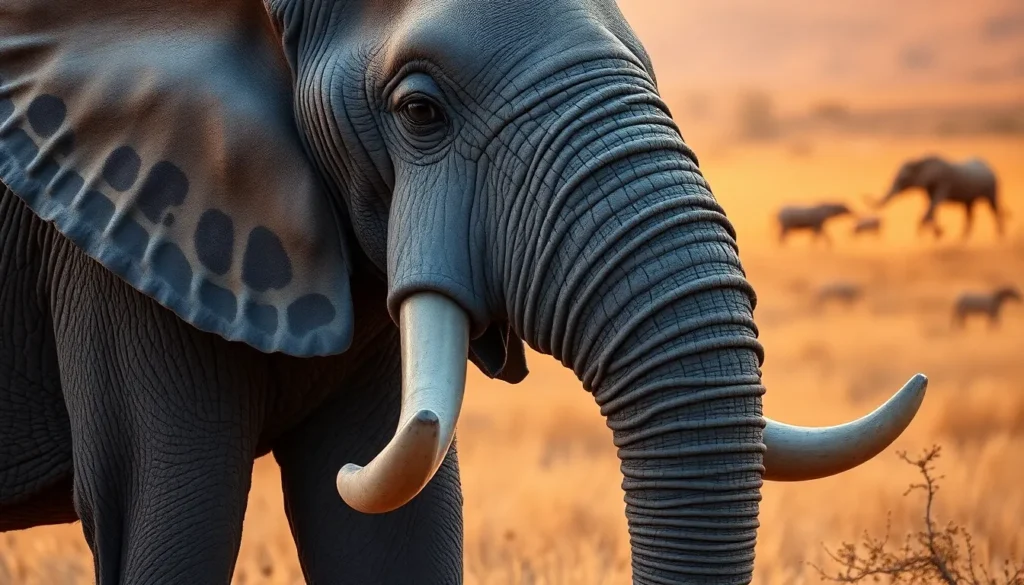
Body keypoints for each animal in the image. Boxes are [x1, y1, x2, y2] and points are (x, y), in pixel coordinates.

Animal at [874, 155, 1006, 239]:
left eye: (904, 179)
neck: (922, 160)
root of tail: (990, 167)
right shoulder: (929, 187)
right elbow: (931, 206)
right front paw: (938, 233)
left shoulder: (943, 182)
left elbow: (934, 204)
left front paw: (924, 230)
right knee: (969, 210)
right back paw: (963, 237)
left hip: (992, 187)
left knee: (993, 208)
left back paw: (999, 234)